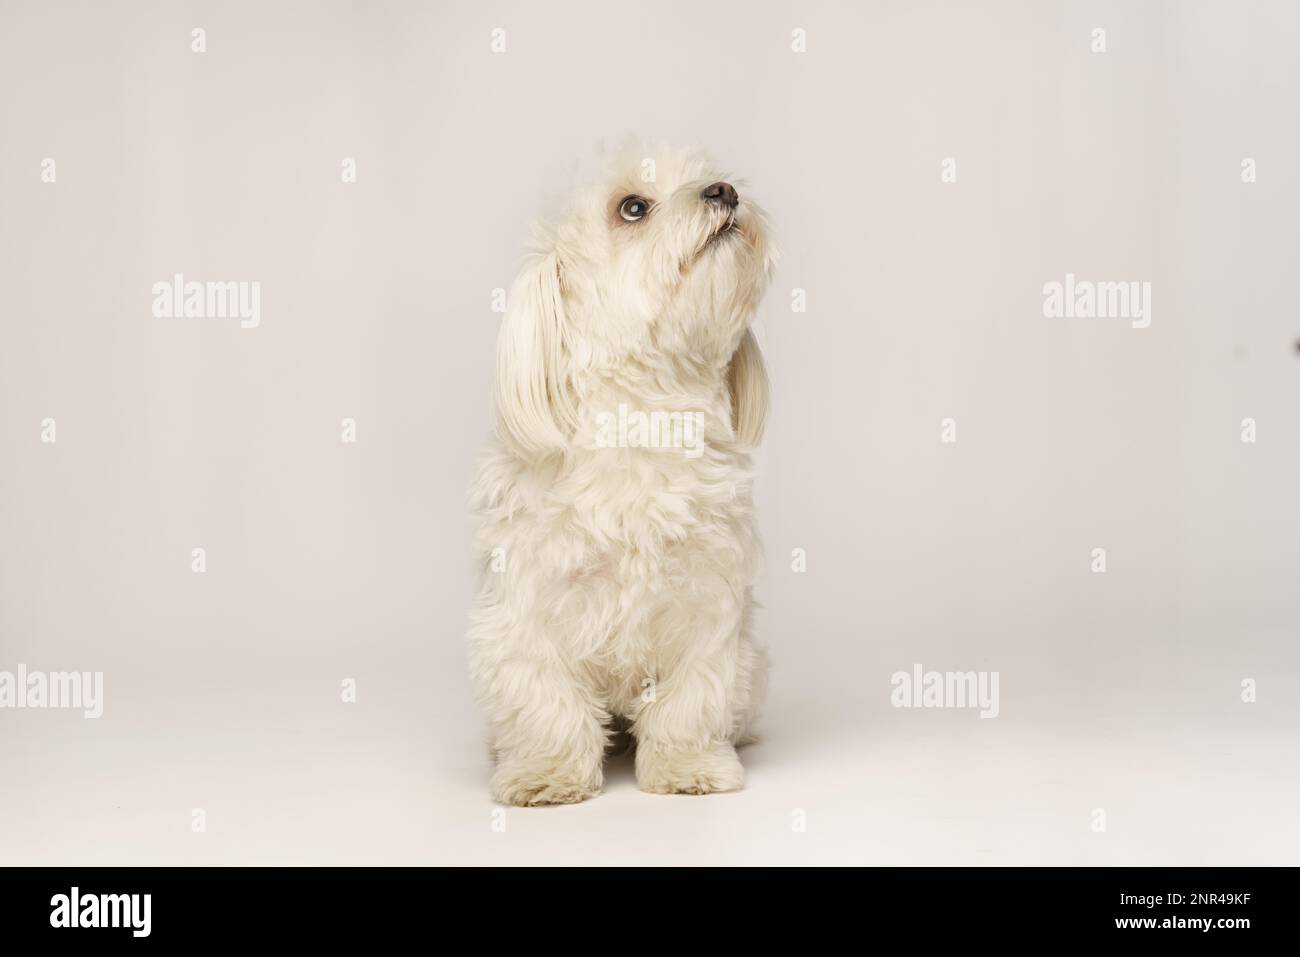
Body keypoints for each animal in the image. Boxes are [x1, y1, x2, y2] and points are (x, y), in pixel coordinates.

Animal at [467, 141, 769, 806]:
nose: (725, 191)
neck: (644, 417)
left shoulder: (708, 605)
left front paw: (689, 768)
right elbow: (546, 700)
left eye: (712, 177)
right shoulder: (528, 606)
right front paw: (546, 772)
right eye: (633, 207)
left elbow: (691, 700)